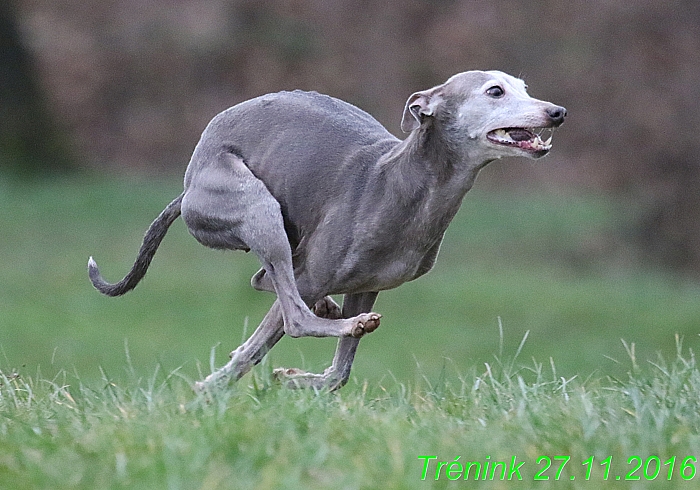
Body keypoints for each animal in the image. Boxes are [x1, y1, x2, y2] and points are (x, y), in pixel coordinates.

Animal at [90, 70, 568, 390]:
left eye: (524, 87)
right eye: (495, 91)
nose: (558, 112)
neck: (404, 181)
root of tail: (187, 189)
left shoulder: (367, 286)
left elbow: (339, 374)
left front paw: (292, 377)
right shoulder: (314, 273)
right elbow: (257, 348)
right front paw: (212, 389)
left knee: (267, 281)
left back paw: (331, 313)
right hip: (256, 206)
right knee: (292, 309)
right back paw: (333, 319)